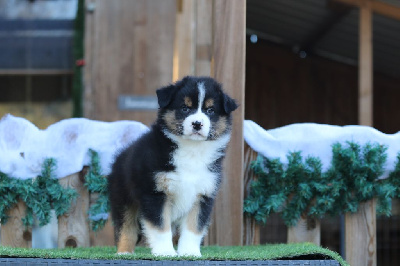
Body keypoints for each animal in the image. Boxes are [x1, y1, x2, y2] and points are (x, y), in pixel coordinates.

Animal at [108, 76, 238, 256]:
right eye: (185, 108)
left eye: (210, 110)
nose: (197, 124)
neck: (191, 150)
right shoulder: (155, 193)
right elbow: (160, 226)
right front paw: (165, 252)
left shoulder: (203, 194)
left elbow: (193, 228)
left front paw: (190, 253)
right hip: (123, 197)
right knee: (126, 227)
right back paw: (124, 253)